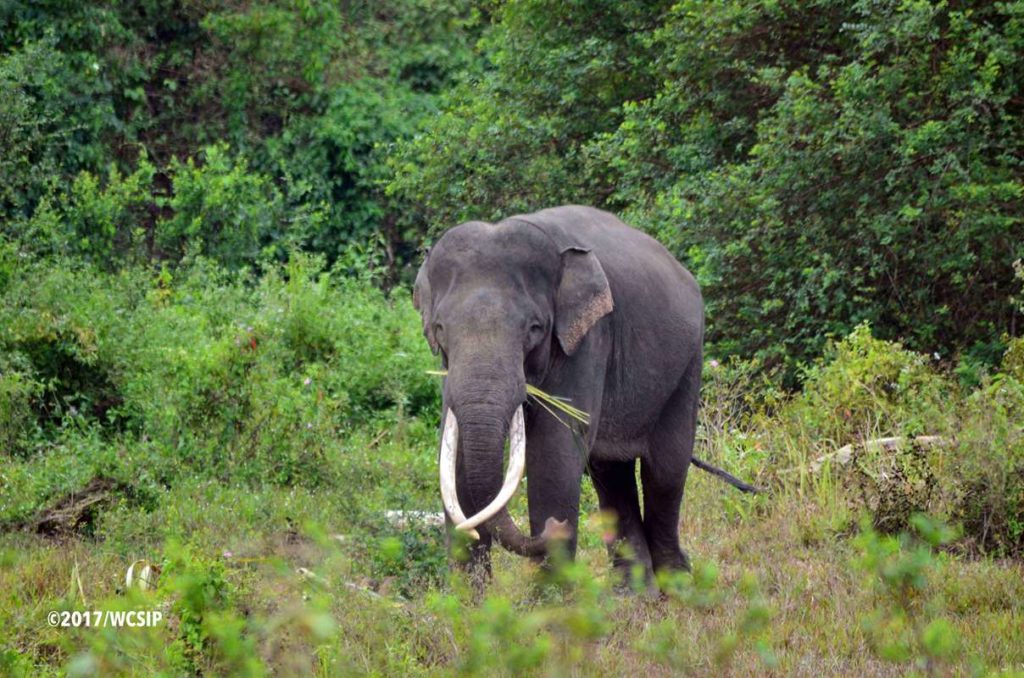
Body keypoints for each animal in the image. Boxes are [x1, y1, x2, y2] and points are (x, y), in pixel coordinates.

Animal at [411, 205, 757, 585]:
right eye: (440, 328)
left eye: (535, 328)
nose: (553, 527)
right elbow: (453, 464)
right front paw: (470, 599)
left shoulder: (588, 340)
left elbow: (555, 454)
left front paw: (551, 598)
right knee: (612, 476)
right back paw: (635, 593)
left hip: (687, 364)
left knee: (665, 472)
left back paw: (676, 586)